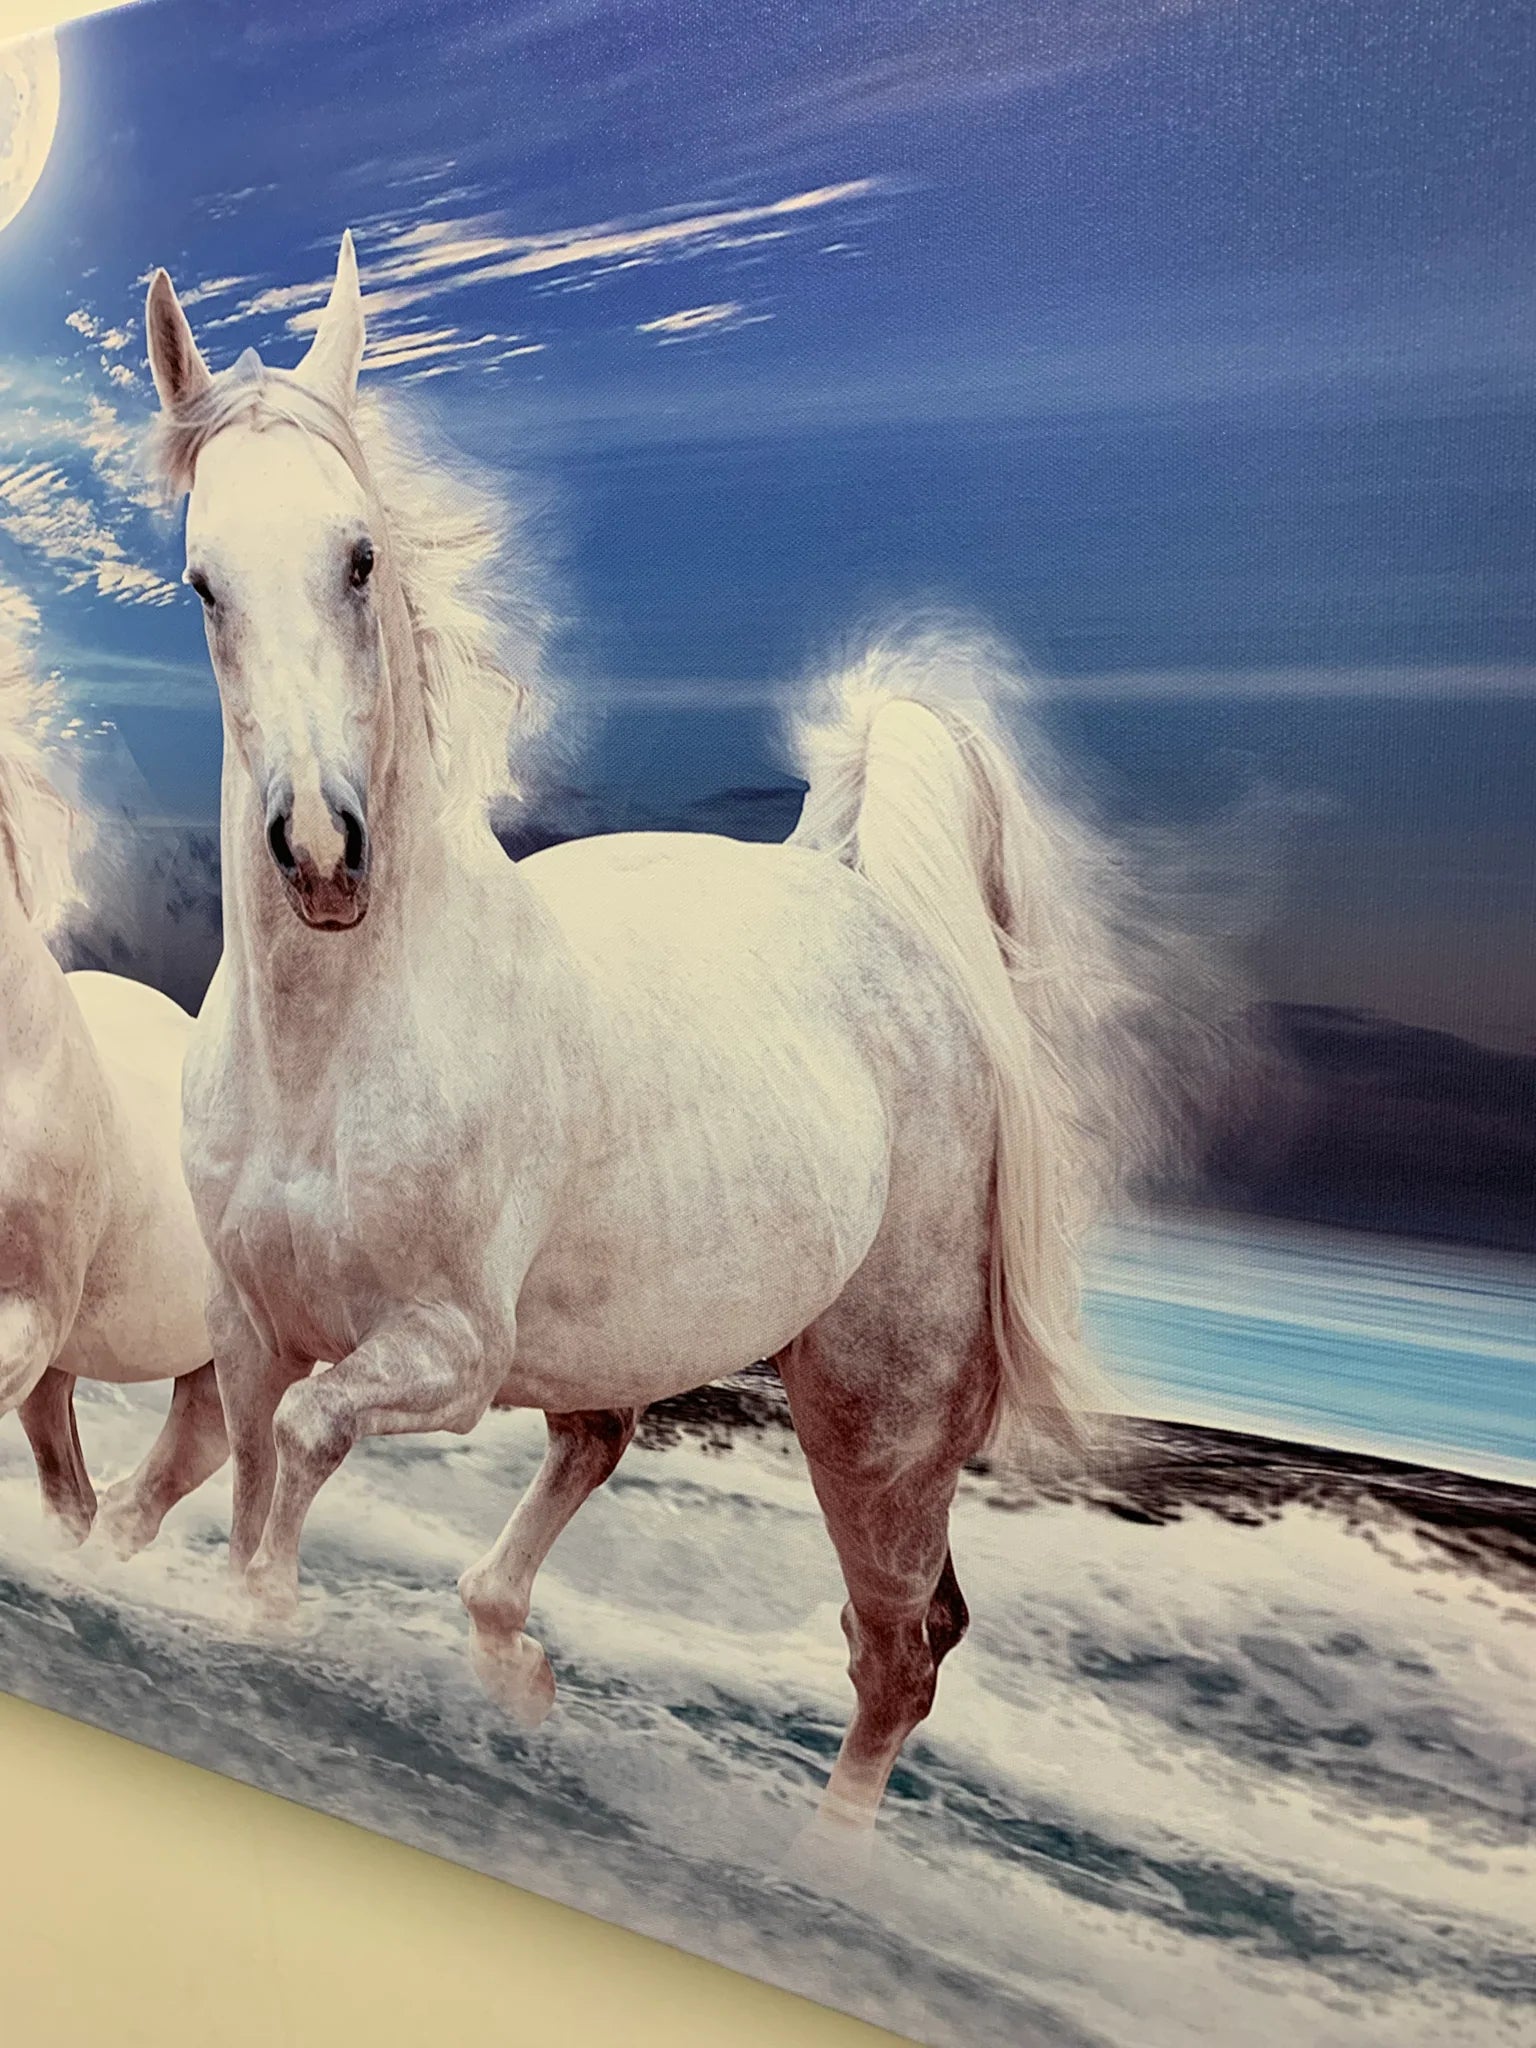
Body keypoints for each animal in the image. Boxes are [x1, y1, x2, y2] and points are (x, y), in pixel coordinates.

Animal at [145, 232, 1175, 1835]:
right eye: (202, 583)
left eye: (360, 557)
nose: (319, 854)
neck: (328, 1059)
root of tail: (869, 909)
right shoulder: (252, 1327)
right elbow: (253, 1466)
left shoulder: (444, 1350)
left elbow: (303, 1455)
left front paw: (262, 1627)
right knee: (604, 1453)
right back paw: (519, 1671)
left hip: (876, 1415)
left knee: (902, 1648)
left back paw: (819, 1862)